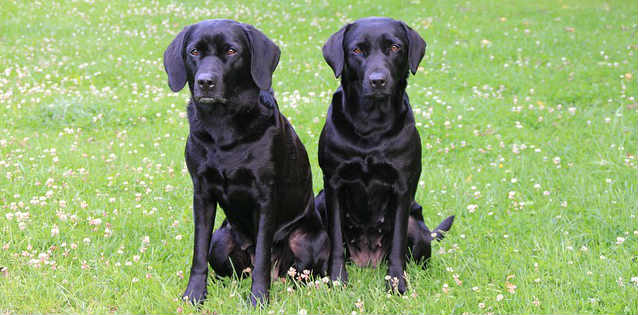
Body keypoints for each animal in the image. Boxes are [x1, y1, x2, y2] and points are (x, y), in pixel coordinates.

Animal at [162, 19, 332, 306]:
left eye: (231, 51)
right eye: (194, 52)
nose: (205, 82)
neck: (223, 128)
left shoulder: (265, 196)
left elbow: (263, 256)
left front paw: (259, 298)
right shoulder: (202, 193)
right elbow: (198, 253)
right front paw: (194, 294)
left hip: (307, 239)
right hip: (221, 240)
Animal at [318, 17, 456, 294]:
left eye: (394, 47)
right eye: (357, 50)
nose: (378, 80)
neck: (371, 125)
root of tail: (367, 260)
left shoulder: (403, 186)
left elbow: (397, 244)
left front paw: (396, 283)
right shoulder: (333, 183)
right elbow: (336, 239)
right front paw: (337, 280)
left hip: (417, 224)